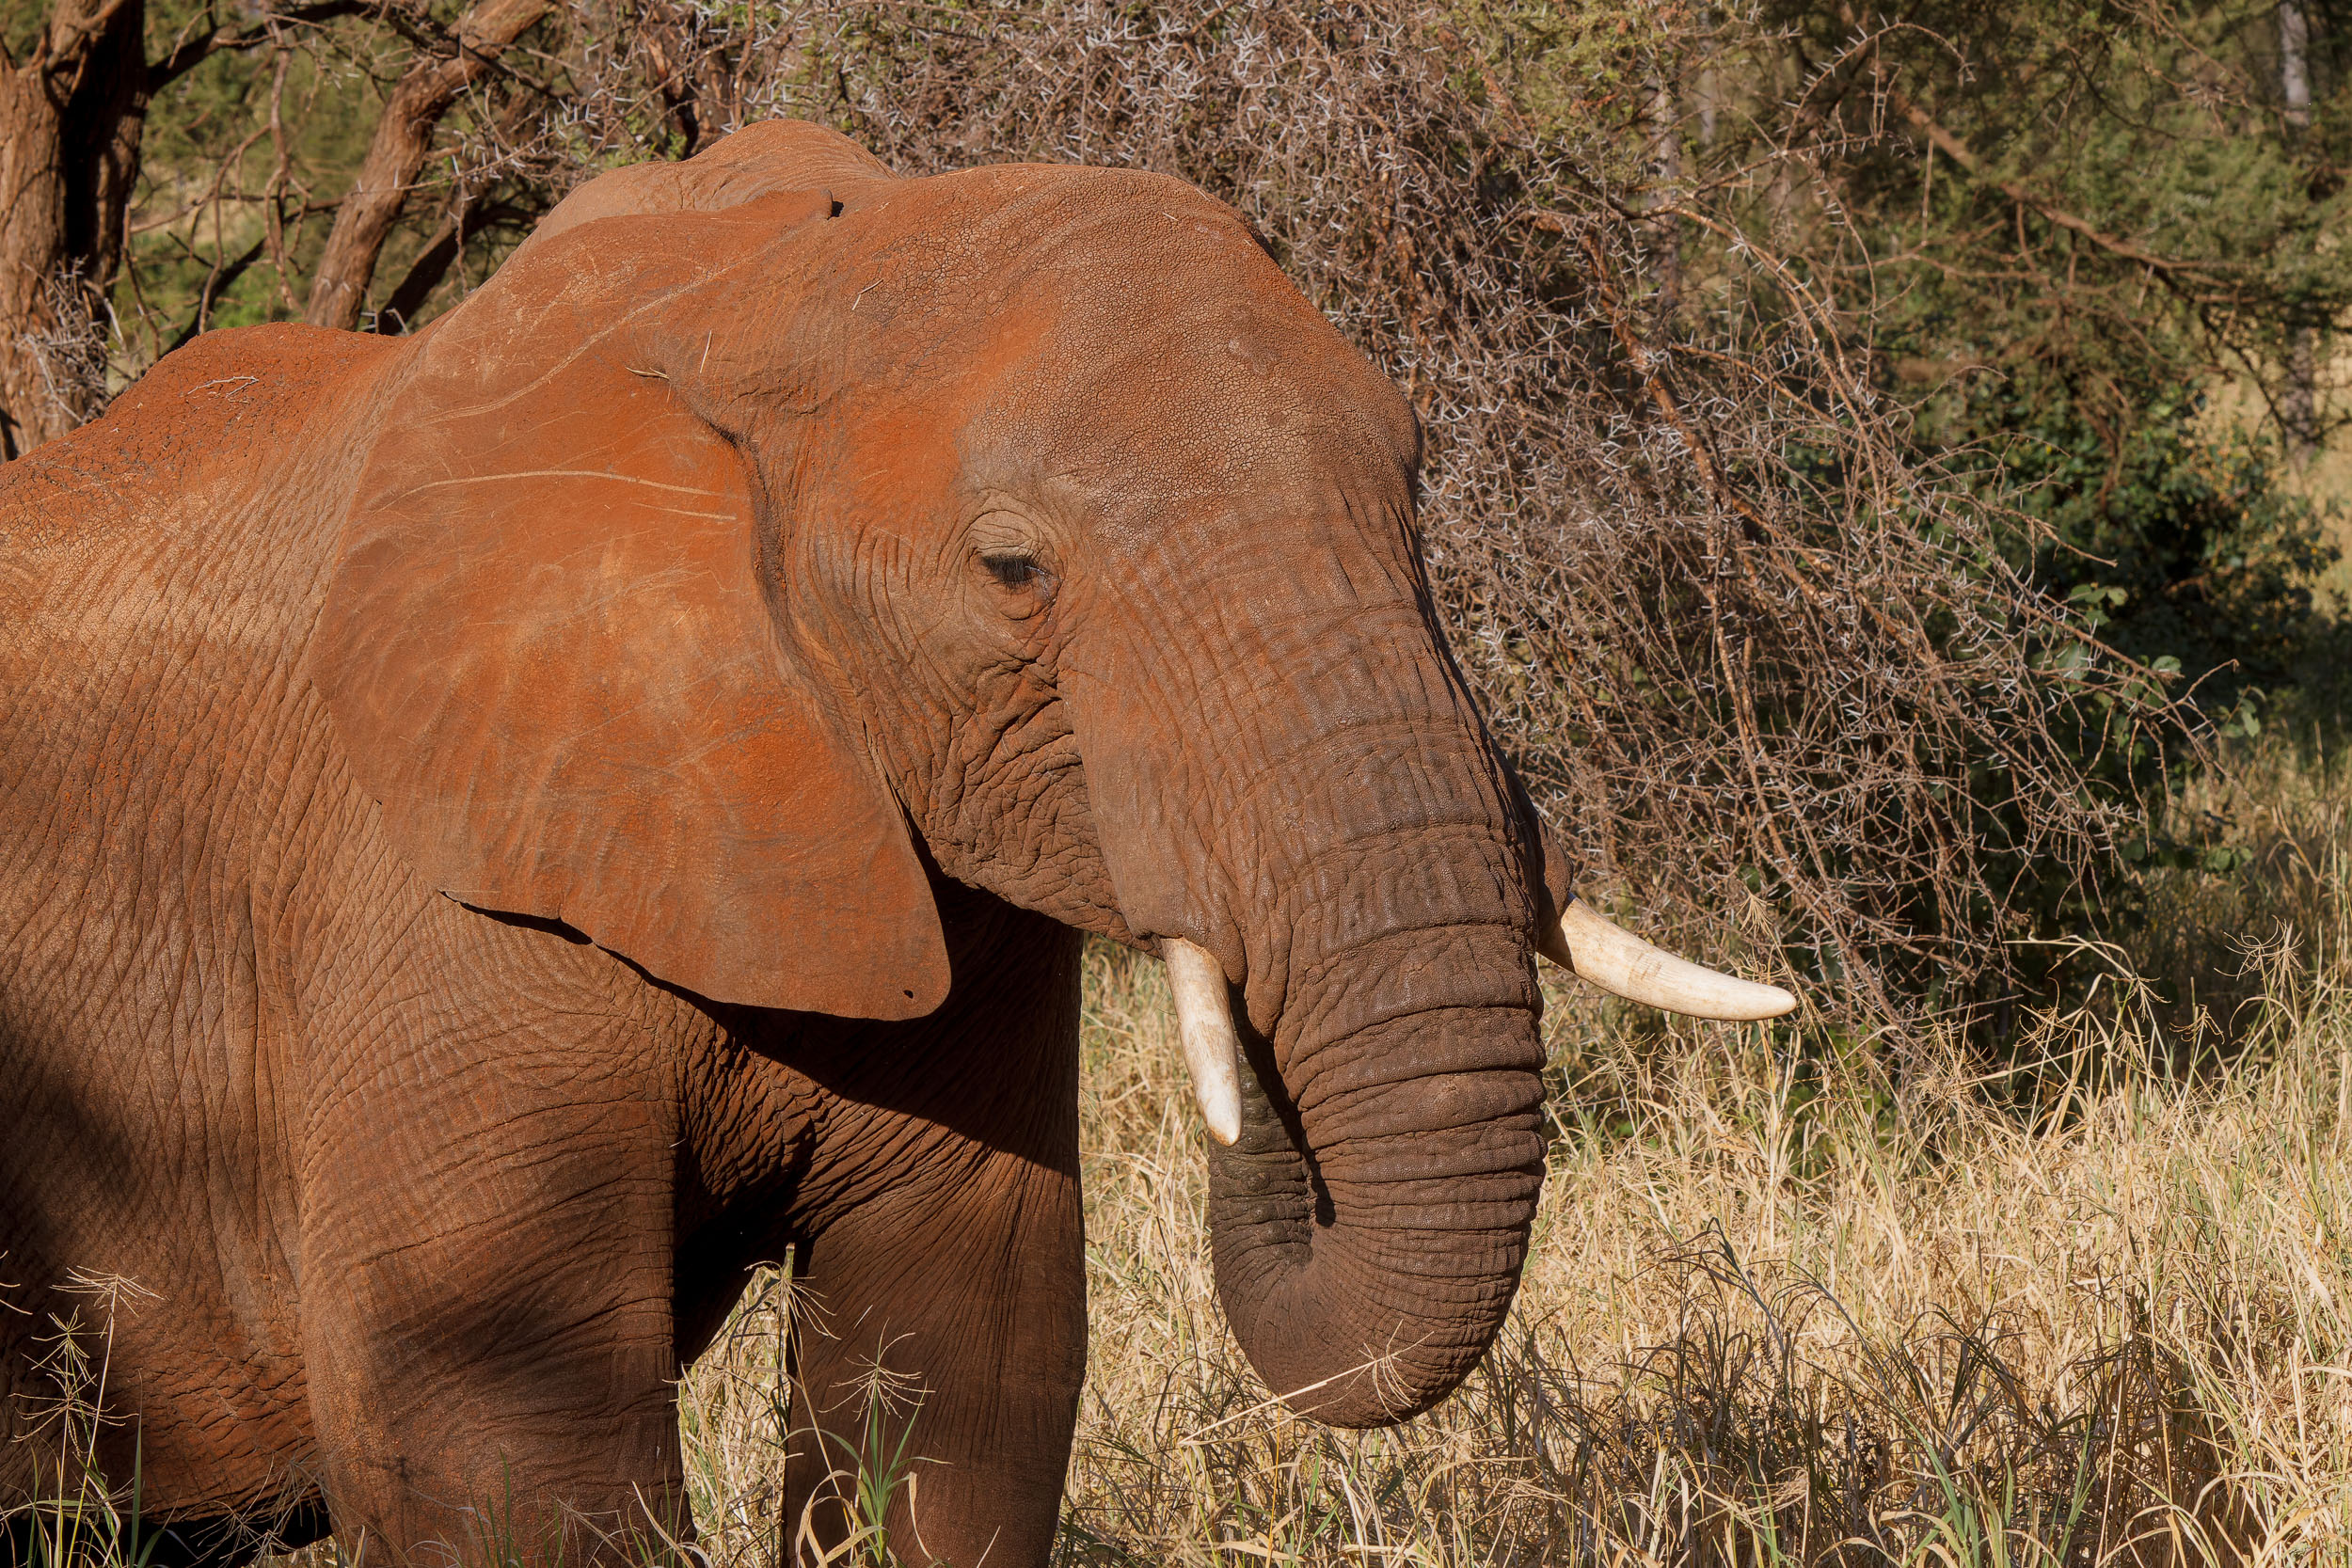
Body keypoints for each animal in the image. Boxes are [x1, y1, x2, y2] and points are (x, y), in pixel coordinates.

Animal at [0, 120, 1791, 1567]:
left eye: (1414, 494)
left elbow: (965, 1363)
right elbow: (498, 1443)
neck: (760, 291)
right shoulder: (425, 885)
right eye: (1012, 570)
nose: (1266, 1100)